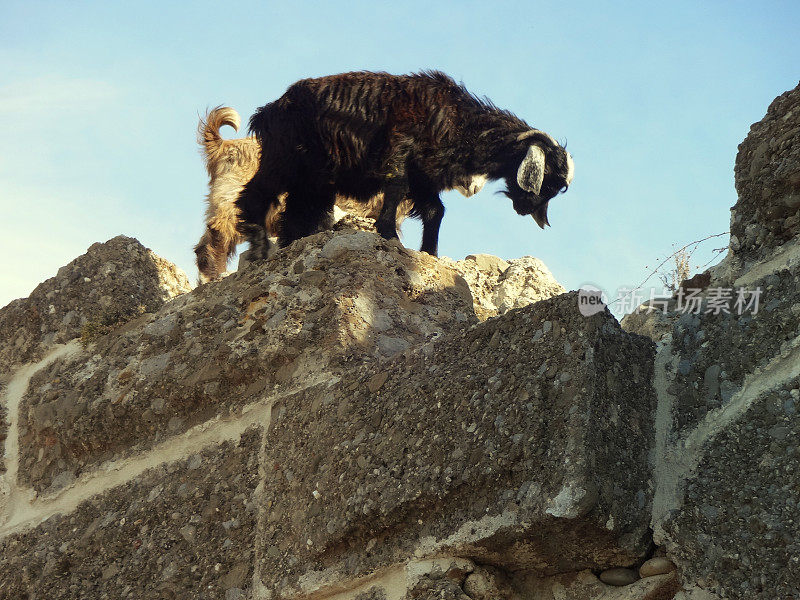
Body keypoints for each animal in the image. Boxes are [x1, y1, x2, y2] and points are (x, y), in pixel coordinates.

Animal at [234, 70, 572, 258]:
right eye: (548, 178)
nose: (528, 209)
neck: (463, 124)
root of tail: (269, 109)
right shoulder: (400, 149)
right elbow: (395, 187)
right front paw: (389, 236)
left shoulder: (424, 176)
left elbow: (436, 211)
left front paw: (430, 252)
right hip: (283, 160)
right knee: (255, 194)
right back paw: (260, 246)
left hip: (313, 183)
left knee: (297, 215)